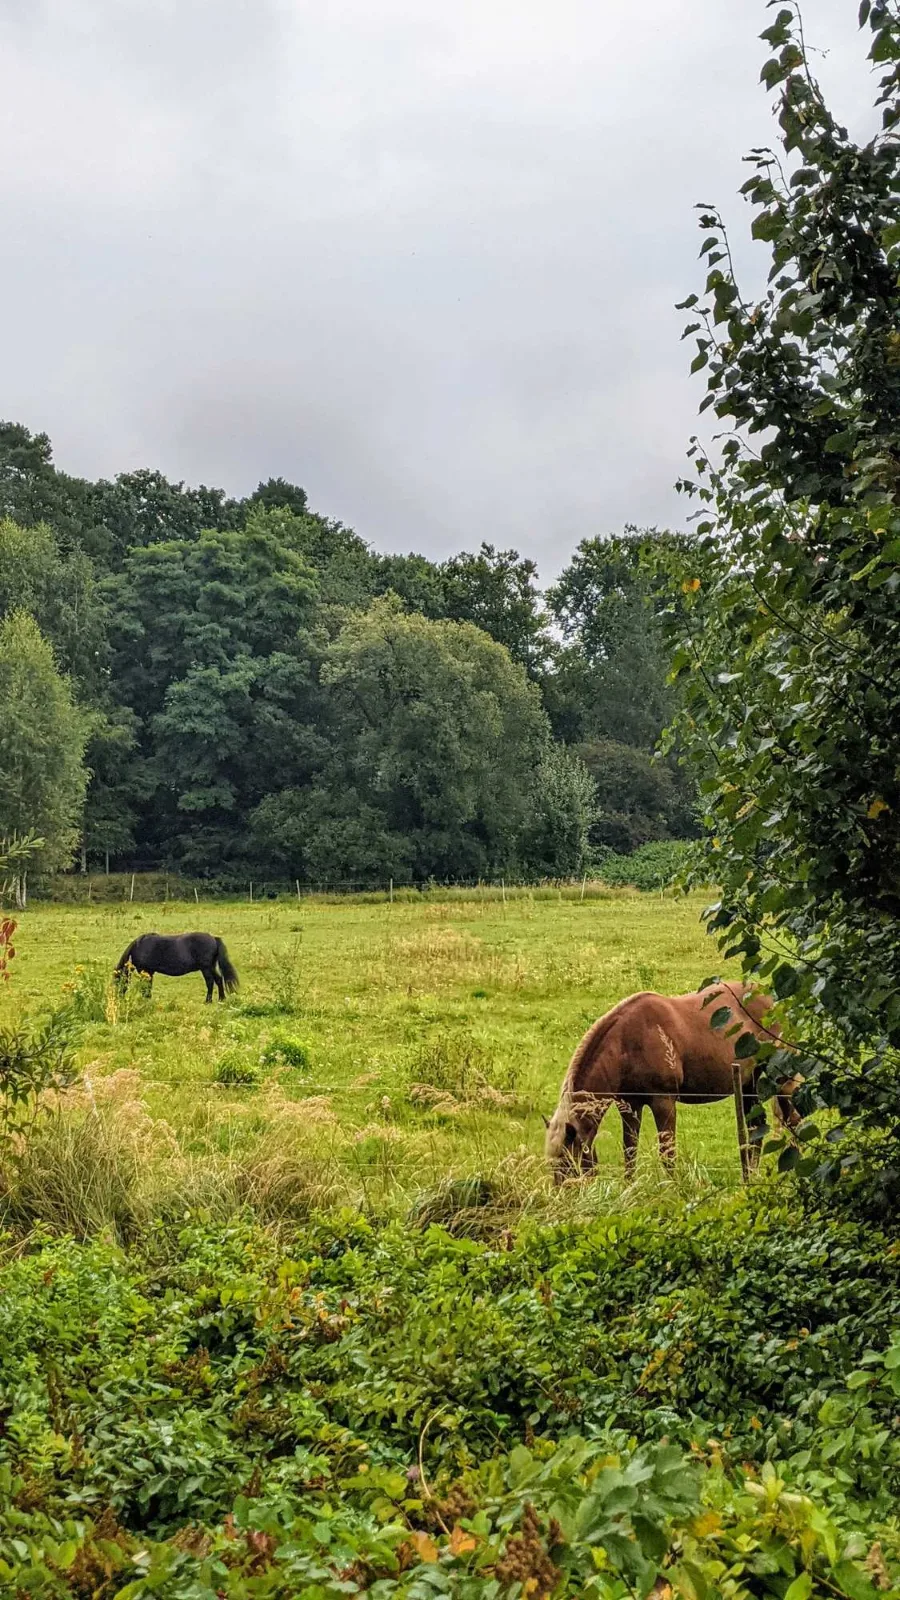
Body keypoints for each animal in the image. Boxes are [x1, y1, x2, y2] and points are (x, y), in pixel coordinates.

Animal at [545, 981, 800, 1183]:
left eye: (569, 1162)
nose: (563, 1198)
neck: (627, 1043)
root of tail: (773, 1000)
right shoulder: (629, 1105)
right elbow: (630, 1151)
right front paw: (630, 1188)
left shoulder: (663, 1103)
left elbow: (667, 1153)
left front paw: (673, 1189)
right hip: (749, 1085)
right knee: (756, 1128)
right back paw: (751, 1175)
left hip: (779, 1080)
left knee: (793, 1121)